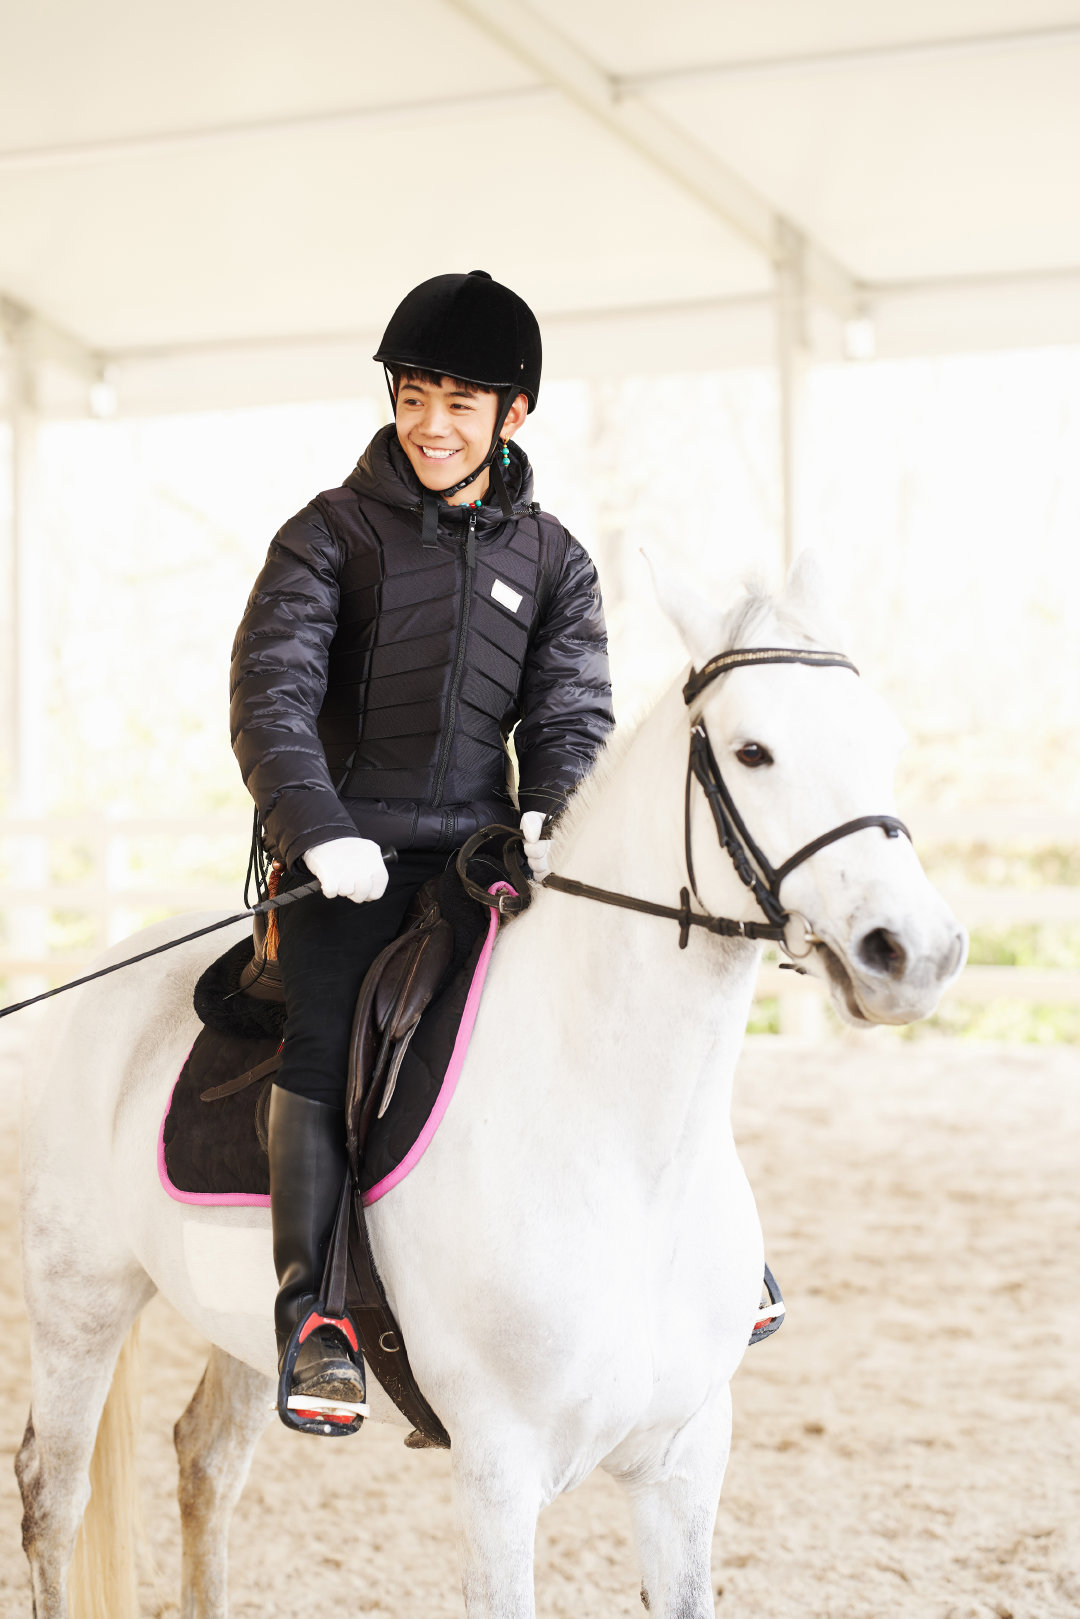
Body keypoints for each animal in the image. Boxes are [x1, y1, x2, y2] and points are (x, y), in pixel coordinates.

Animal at [16, 558, 965, 1619]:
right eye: (752, 751)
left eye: (883, 739)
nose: (913, 952)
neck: (628, 1156)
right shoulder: (499, 1473)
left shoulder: (684, 1464)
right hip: (80, 1298)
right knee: (54, 1492)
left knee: (205, 1463)